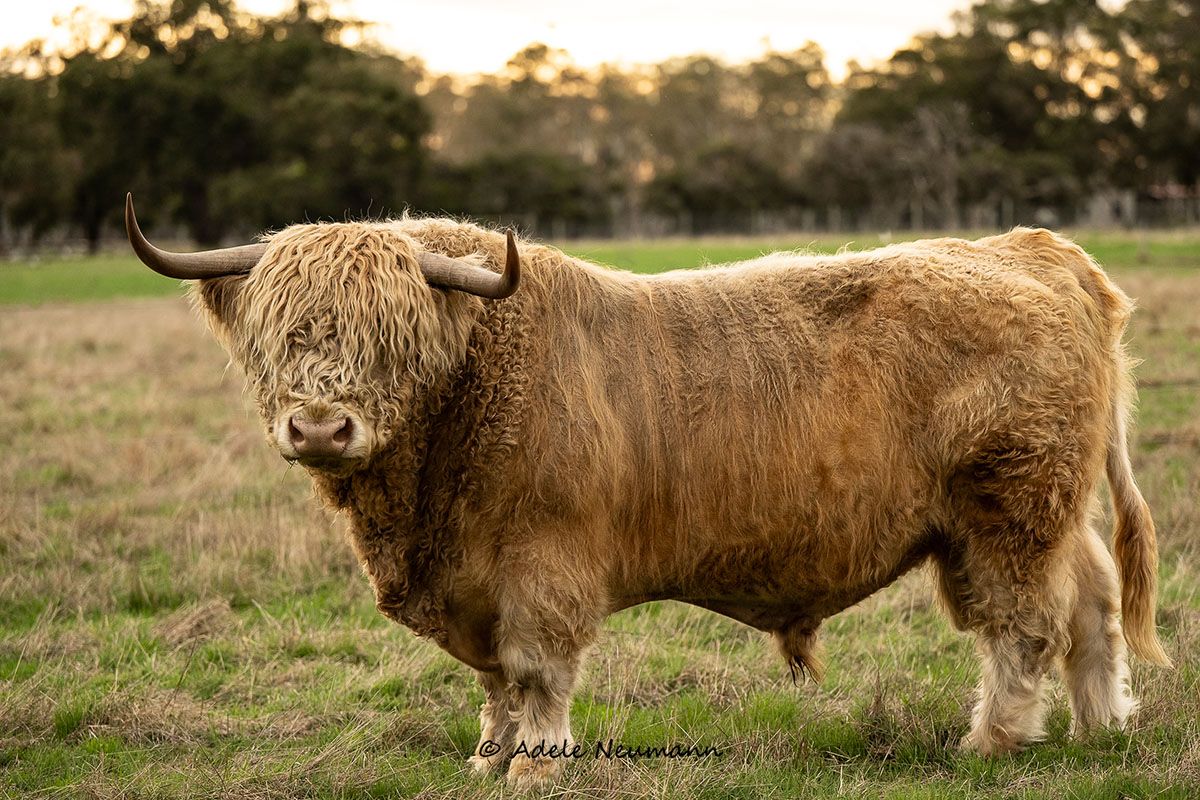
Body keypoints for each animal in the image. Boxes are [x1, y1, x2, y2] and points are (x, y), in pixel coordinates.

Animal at [124, 193, 1169, 787]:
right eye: (279, 332)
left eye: (393, 332)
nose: (318, 428)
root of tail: (1037, 251)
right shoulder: (473, 584)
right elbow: (494, 682)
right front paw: (487, 756)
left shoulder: (542, 568)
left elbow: (537, 673)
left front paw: (535, 768)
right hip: (1053, 509)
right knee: (1094, 604)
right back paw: (1100, 726)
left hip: (1007, 510)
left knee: (1024, 626)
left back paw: (992, 743)